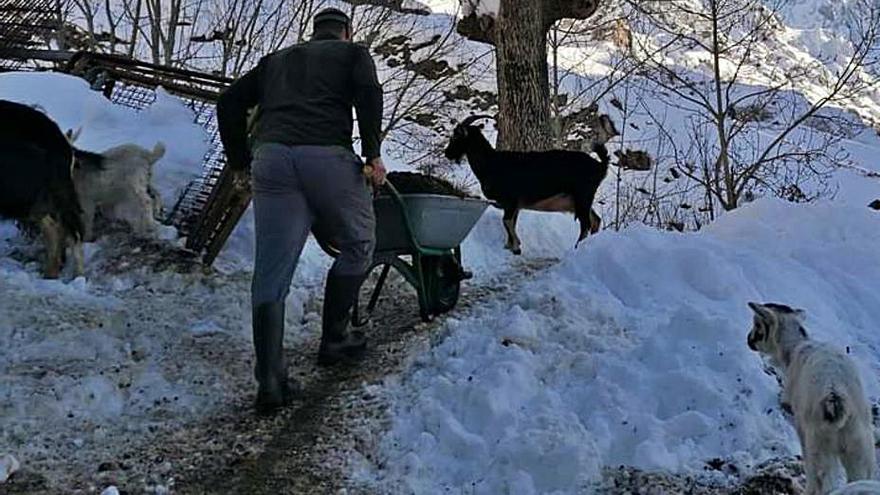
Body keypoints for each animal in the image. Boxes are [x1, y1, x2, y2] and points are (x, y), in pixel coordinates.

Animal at [446, 114, 612, 254]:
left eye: (455, 136)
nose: (447, 153)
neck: (491, 163)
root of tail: (600, 166)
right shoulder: (514, 205)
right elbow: (512, 222)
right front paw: (509, 245)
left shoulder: (511, 200)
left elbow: (507, 221)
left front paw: (516, 247)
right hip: (582, 200)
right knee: (595, 220)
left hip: (582, 196)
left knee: (586, 224)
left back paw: (577, 248)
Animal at [744, 302, 876, 495]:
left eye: (758, 325)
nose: (749, 340)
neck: (795, 347)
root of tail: (835, 398)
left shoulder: (801, 428)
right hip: (860, 447)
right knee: (860, 476)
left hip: (819, 446)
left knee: (822, 482)